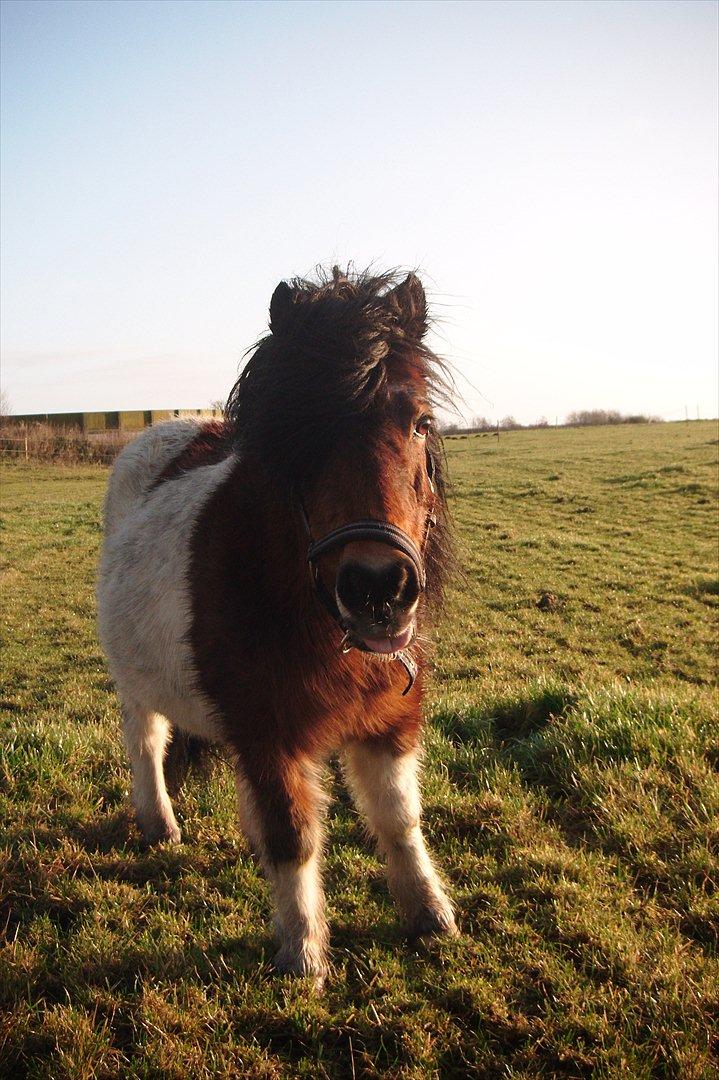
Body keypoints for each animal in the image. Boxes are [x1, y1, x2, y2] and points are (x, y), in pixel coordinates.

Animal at [96, 267, 453, 980]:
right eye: (296, 437)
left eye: (421, 423)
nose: (378, 588)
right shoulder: (269, 734)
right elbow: (294, 836)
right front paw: (304, 954)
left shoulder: (391, 721)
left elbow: (399, 818)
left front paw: (429, 914)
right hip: (136, 686)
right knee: (146, 742)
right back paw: (159, 825)